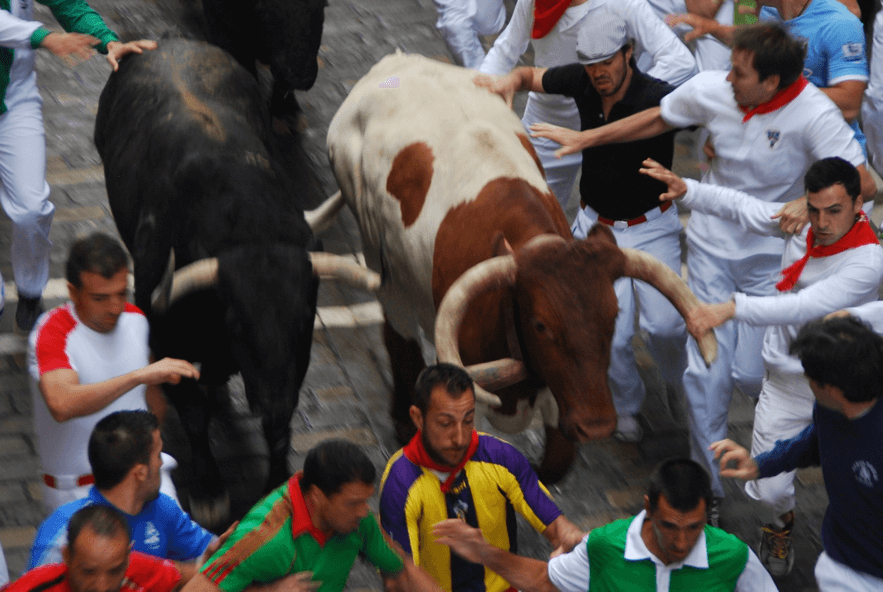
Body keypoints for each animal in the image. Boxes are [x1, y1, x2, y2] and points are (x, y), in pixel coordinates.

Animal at [93, 38, 320, 528]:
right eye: (238, 323)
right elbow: (194, 414)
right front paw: (209, 490)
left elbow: (278, 433)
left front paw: (277, 482)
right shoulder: (167, 336)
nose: (273, 403)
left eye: (304, 321)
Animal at [324, 53, 720, 480]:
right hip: (381, 258)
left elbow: (550, 468)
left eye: (613, 315)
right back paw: (400, 418)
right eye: (540, 324)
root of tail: (396, 60)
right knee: (398, 330)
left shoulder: (559, 396)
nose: (597, 425)